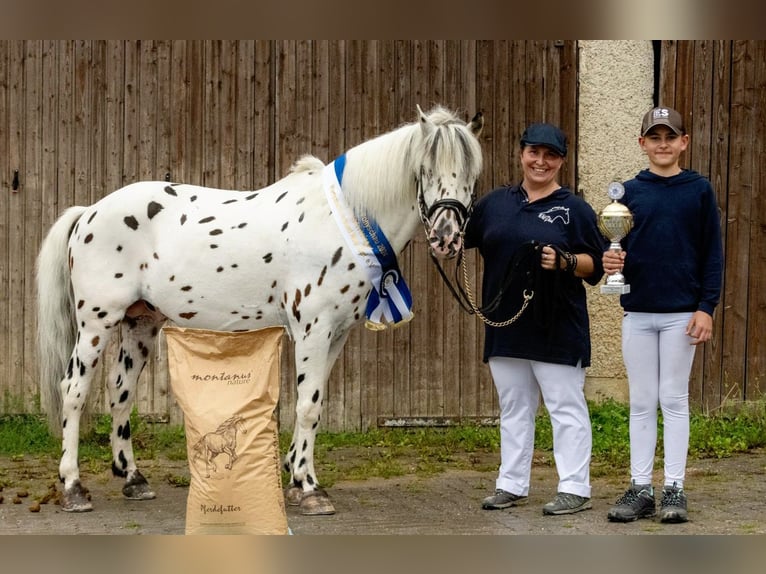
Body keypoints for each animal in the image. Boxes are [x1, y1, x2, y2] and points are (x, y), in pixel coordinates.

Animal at [37, 103, 486, 516]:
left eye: (472, 173)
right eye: (425, 169)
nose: (447, 236)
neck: (341, 219)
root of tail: (89, 213)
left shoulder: (336, 333)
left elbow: (314, 402)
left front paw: (295, 474)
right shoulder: (313, 328)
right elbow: (307, 405)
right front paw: (309, 487)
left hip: (140, 322)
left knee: (121, 392)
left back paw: (133, 478)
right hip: (97, 321)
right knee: (74, 391)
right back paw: (73, 488)